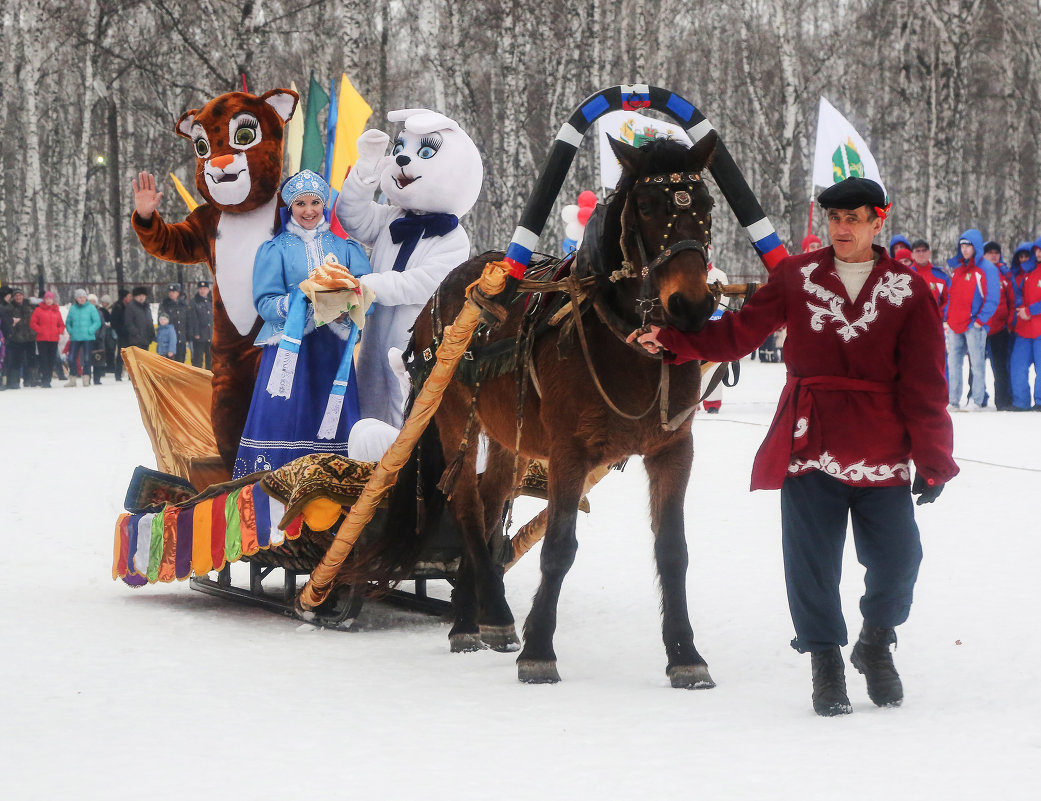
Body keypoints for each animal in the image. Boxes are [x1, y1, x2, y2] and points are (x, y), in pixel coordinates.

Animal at [349, 134, 716, 683]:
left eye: (708, 206)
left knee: (490, 500)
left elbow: (673, 550)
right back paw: (482, 620)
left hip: (510, 436)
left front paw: (685, 655)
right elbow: (559, 548)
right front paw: (540, 649)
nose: (691, 307)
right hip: (455, 418)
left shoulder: (674, 449)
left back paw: (476, 608)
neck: (626, 348)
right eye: (648, 206)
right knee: (467, 507)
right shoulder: (569, 453)